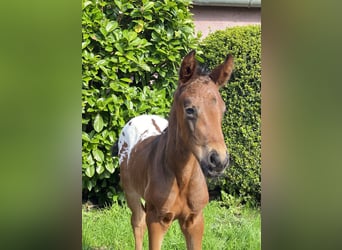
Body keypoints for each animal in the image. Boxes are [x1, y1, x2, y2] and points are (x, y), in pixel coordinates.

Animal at [117, 49, 232, 249]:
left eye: (223, 110)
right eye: (189, 109)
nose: (219, 160)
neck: (182, 177)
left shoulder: (195, 221)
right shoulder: (157, 220)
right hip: (130, 192)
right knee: (137, 222)